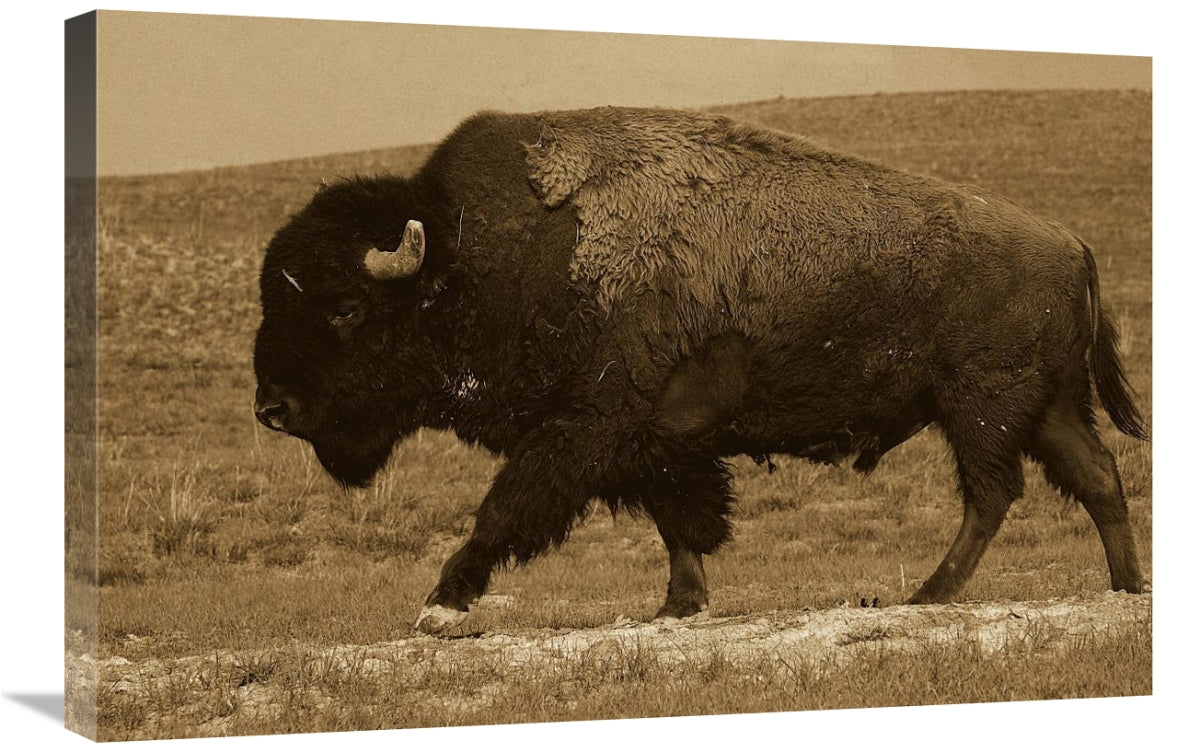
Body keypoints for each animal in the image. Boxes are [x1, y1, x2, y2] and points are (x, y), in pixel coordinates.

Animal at [253, 106, 1148, 634]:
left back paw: (932, 594)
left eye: (344, 308)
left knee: (995, 492)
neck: (471, 252)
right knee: (1094, 476)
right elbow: (678, 522)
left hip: (982, 405)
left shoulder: (584, 430)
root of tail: (1072, 243)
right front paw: (679, 604)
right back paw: (1125, 587)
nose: (272, 408)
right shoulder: (654, 442)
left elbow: (505, 507)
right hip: (1043, 406)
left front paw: (440, 604)